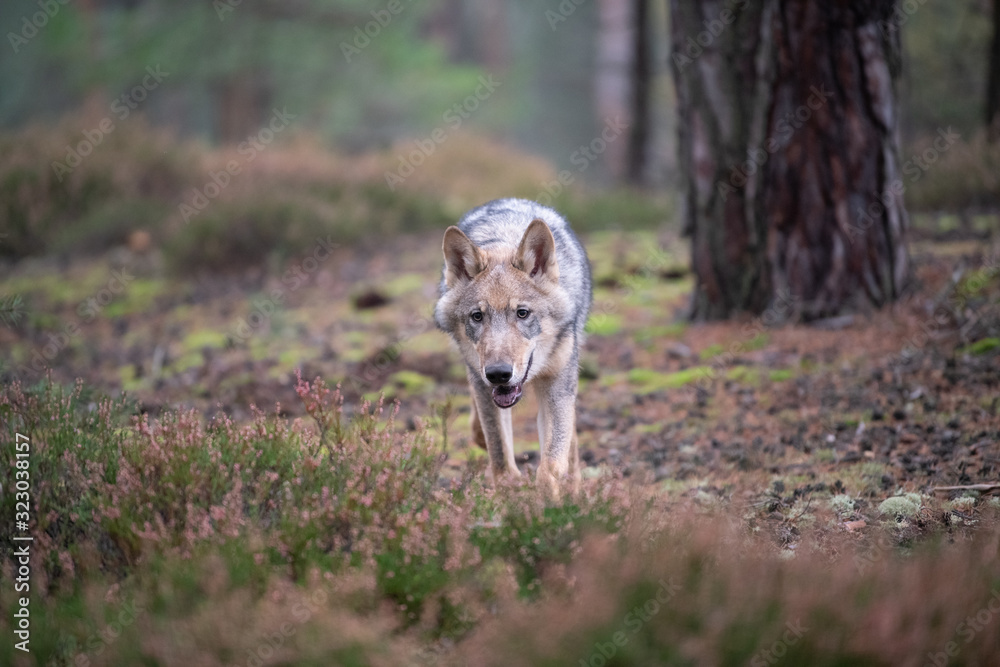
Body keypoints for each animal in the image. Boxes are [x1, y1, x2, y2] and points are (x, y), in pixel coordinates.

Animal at [434, 196, 588, 494]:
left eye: (522, 313)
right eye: (477, 316)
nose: (498, 374)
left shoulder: (557, 385)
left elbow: (551, 465)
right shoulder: (484, 386)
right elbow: (500, 458)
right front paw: (510, 493)